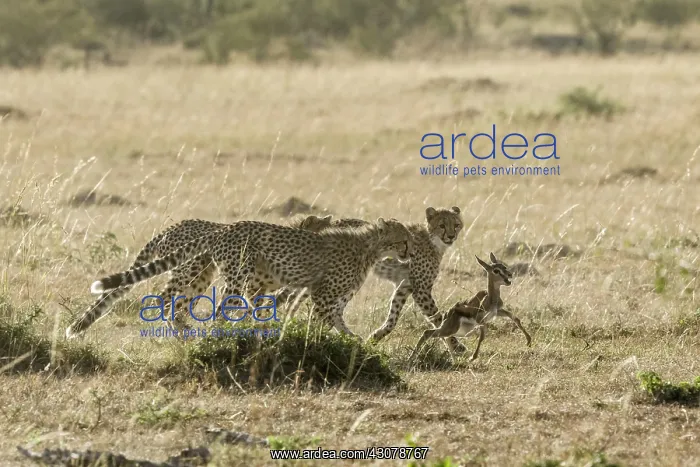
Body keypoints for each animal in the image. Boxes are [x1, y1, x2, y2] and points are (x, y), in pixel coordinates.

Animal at [65, 214, 334, 338]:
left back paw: (184, 332)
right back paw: (180, 333)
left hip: (201, 276)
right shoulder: (252, 282)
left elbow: (264, 306)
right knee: (163, 300)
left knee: (178, 305)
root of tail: (169, 228)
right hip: (190, 269)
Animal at [87, 218, 414, 337]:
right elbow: (322, 320)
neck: (370, 246)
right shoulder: (321, 292)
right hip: (228, 274)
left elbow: (335, 319)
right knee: (207, 306)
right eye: (403, 239)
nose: (409, 252)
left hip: (213, 276)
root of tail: (226, 227)